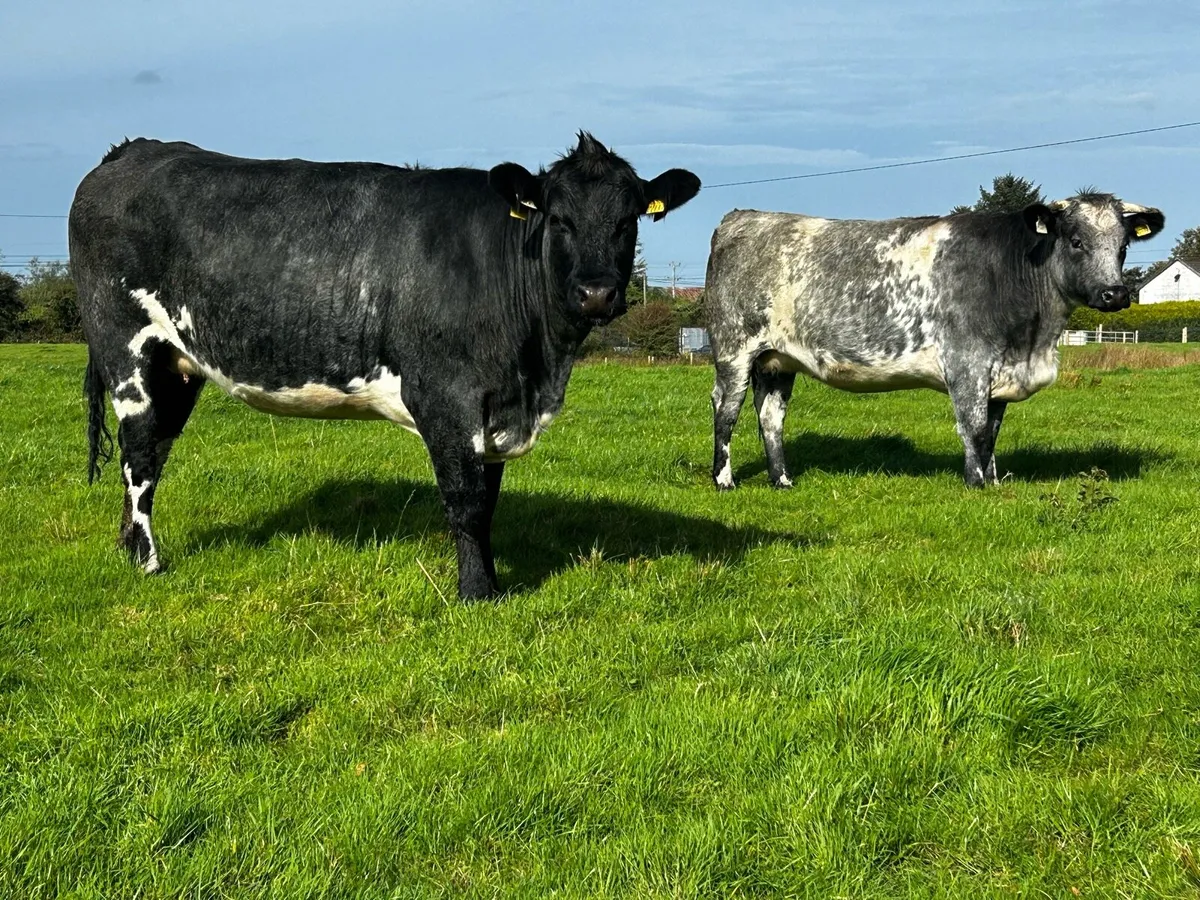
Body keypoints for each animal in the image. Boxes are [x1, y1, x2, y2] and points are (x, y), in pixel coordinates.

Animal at [69, 133, 700, 599]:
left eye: (628, 220)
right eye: (559, 219)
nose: (597, 292)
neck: (536, 371)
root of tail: (131, 150)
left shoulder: (493, 409)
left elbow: (489, 500)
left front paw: (493, 583)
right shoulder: (445, 397)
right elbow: (466, 501)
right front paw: (477, 594)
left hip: (178, 366)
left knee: (153, 452)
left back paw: (128, 549)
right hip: (129, 350)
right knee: (139, 454)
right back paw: (149, 562)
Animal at [704, 192, 1164, 490]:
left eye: (1123, 246)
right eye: (1076, 241)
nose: (1115, 293)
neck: (1033, 340)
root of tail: (743, 216)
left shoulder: (1000, 374)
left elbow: (992, 433)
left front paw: (994, 483)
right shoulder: (967, 365)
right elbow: (973, 428)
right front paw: (975, 485)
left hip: (776, 360)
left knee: (771, 417)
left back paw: (782, 480)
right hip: (734, 351)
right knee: (726, 410)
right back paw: (724, 480)